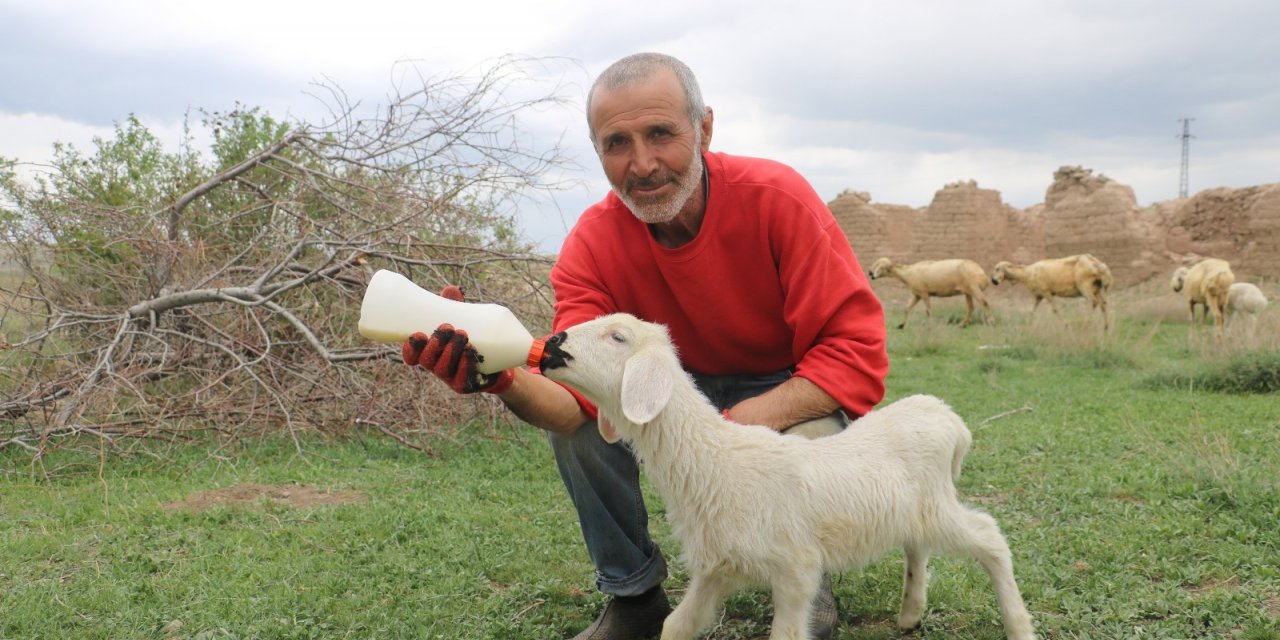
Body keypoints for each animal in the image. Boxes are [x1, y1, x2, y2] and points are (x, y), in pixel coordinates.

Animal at [535, 313, 1034, 640]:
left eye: (617, 336)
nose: (554, 342)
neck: (714, 461)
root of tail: (949, 418)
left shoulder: (796, 569)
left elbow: (788, 633)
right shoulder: (717, 564)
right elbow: (677, 624)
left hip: (936, 505)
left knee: (989, 537)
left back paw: (1018, 626)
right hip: (910, 509)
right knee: (918, 545)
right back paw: (910, 613)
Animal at [865, 256, 993, 330]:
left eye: (879, 266)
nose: (870, 273)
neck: (907, 273)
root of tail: (983, 275)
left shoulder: (924, 293)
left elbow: (928, 311)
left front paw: (930, 327)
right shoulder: (917, 295)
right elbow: (907, 308)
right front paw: (901, 325)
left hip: (974, 287)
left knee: (984, 302)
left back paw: (991, 322)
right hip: (968, 291)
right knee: (971, 307)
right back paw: (962, 325)